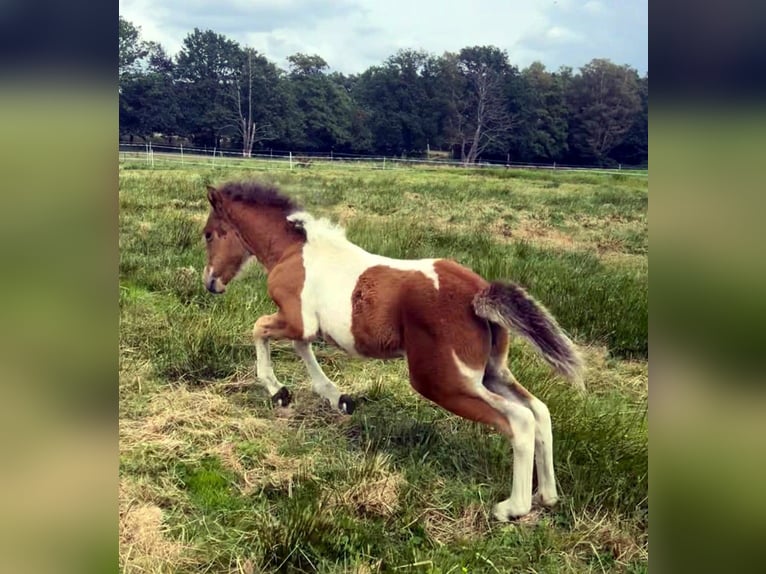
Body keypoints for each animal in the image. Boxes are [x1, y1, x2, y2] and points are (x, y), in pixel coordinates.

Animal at [201, 179, 585, 521]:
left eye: (208, 234)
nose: (211, 282)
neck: (292, 252)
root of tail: (478, 294)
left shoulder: (296, 319)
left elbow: (261, 329)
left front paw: (278, 391)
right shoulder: (304, 325)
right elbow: (300, 346)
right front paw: (337, 397)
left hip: (442, 381)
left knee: (519, 419)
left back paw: (512, 508)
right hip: (491, 373)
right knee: (539, 411)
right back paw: (547, 495)